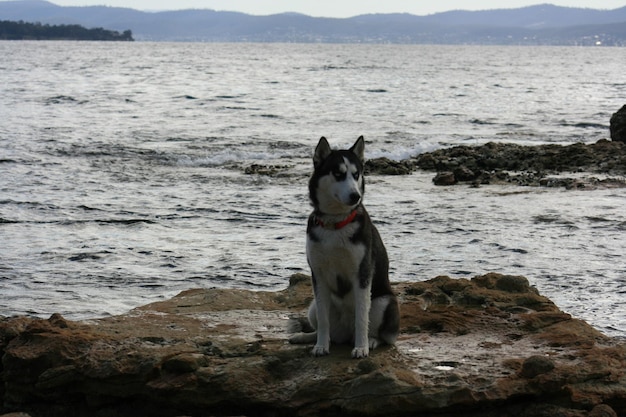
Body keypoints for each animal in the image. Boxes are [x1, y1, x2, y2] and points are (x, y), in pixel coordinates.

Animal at [288, 136, 398, 358]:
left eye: (356, 175)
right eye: (338, 174)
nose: (356, 196)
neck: (335, 224)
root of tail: (345, 335)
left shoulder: (362, 274)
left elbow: (362, 318)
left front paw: (361, 348)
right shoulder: (318, 275)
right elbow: (323, 321)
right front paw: (321, 346)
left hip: (384, 302)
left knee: (384, 335)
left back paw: (371, 341)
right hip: (312, 306)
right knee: (324, 326)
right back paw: (306, 337)